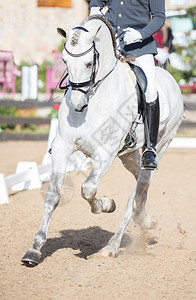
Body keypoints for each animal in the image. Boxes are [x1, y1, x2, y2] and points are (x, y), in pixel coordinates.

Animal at [21, 15, 184, 264]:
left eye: (89, 63)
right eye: (65, 61)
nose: (78, 105)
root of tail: (169, 78)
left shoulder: (105, 155)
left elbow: (88, 189)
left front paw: (106, 204)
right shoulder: (62, 148)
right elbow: (53, 196)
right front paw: (35, 248)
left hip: (160, 145)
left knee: (138, 189)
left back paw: (112, 246)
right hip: (128, 155)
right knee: (140, 186)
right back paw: (146, 219)